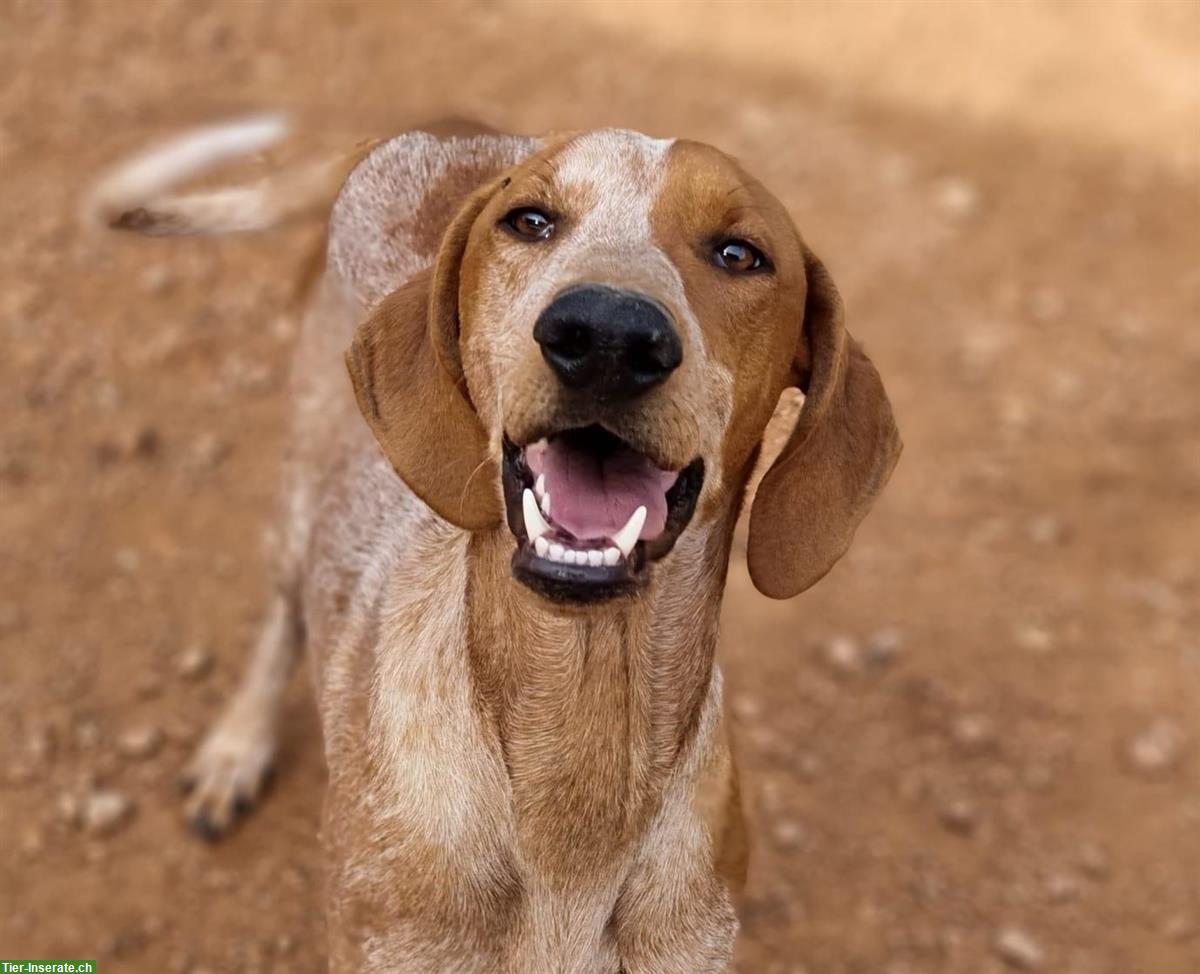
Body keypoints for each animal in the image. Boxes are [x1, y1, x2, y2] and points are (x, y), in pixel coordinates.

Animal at [91, 118, 902, 969]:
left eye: (740, 254)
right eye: (531, 221)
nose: (606, 335)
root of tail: (439, 124)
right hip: (302, 486)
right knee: (282, 618)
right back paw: (236, 748)